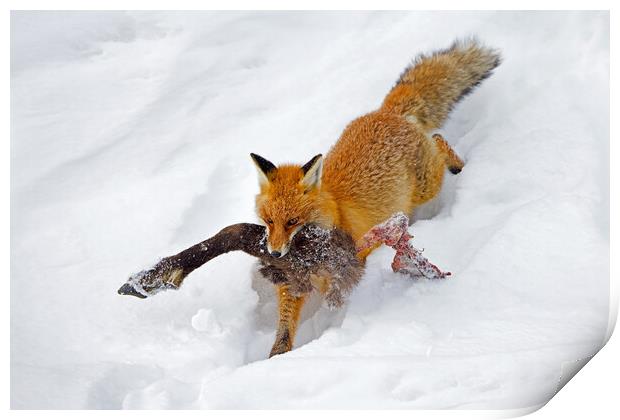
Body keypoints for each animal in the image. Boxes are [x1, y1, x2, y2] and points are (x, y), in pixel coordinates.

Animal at [249, 39, 496, 356]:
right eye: (269, 221)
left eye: (292, 221)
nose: (275, 253)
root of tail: (386, 112)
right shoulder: (292, 283)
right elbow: (284, 328)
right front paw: (277, 357)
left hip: (427, 185)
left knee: (439, 140)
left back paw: (458, 164)